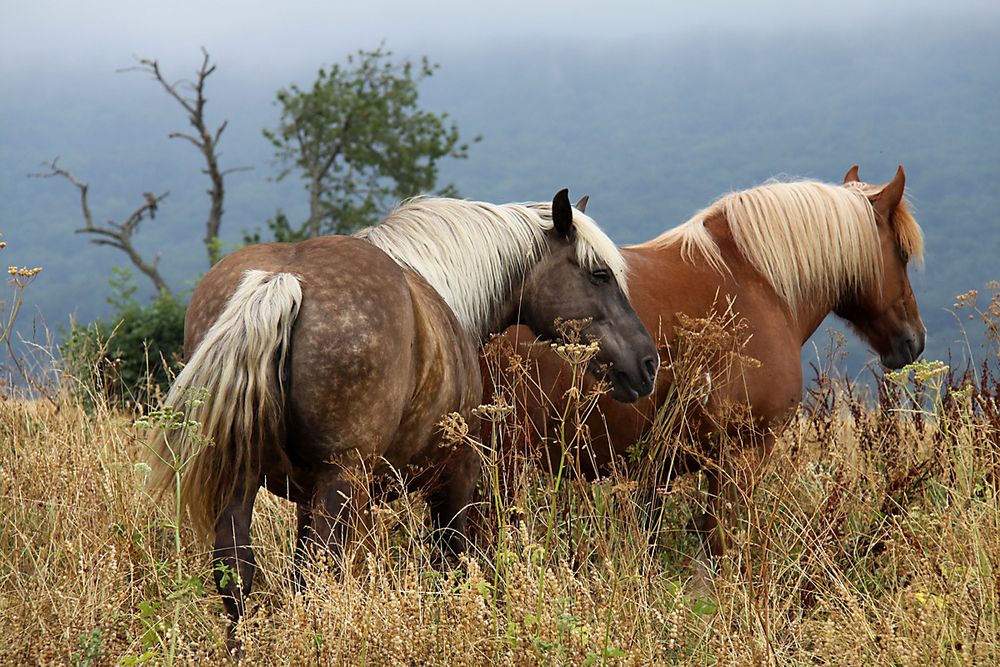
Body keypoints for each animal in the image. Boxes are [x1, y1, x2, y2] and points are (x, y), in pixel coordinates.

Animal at [146, 188, 656, 636]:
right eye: (599, 274)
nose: (647, 363)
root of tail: (284, 280)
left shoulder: (307, 497)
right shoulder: (454, 480)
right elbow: (450, 566)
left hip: (243, 477)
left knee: (238, 574)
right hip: (342, 480)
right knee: (317, 572)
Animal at [496, 166, 924, 560]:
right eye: (902, 255)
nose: (914, 340)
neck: (754, 283)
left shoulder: (660, 473)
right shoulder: (743, 454)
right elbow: (724, 545)